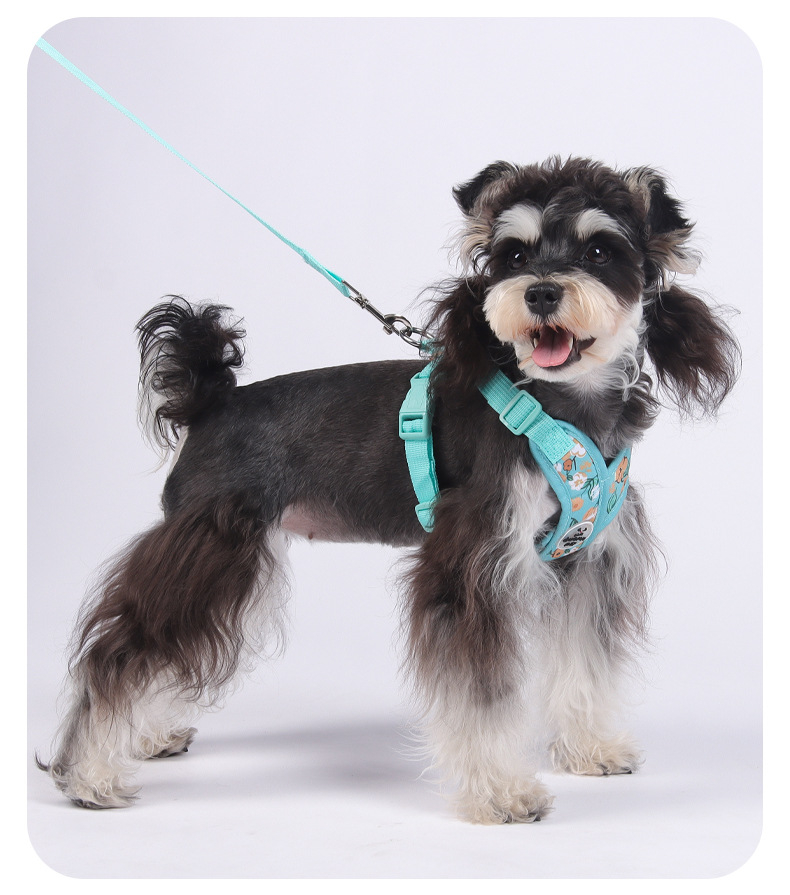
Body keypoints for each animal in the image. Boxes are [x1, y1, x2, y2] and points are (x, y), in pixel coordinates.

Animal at [41, 156, 739, 823]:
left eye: (599, 250)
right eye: (513, 255)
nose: (541, 292)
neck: (559, 405)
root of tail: (212, 399)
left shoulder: (585, 562)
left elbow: (583, 665)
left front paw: (590, 748)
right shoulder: (472, 568)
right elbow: (481, 696)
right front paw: (501, 793)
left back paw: (142, 736)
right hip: (209, 547)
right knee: (121, 650)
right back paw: (90, 775)